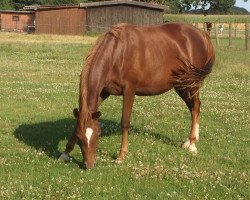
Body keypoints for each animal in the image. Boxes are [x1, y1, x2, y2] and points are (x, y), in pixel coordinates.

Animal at [58, 22, 215, 169]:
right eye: (80, 137)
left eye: (98, 134)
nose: (89, 165)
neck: (116, 53)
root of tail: (202, 34)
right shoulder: (103, 92)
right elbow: (79, 121)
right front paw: (65, 153)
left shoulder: (129, 90)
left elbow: (125, 122)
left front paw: (121, 156)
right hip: (181, 85)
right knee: (193, 108)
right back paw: (189, 141)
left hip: (191, 84)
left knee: (195, 106)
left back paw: (193, 144)